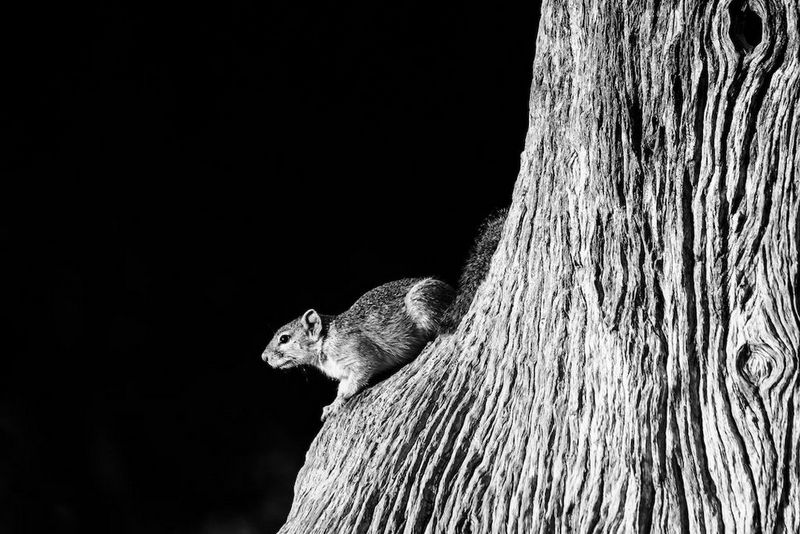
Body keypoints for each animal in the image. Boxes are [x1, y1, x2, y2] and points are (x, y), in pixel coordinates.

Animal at [262, 208, 507, 420]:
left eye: (284, 338)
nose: (264, 358)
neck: (326, 340)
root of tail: (454, 295)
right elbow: (343, 385)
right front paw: (331, 404)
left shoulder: (358, 355)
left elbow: (354, 382)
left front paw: (336, 404)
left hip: (423, 302)